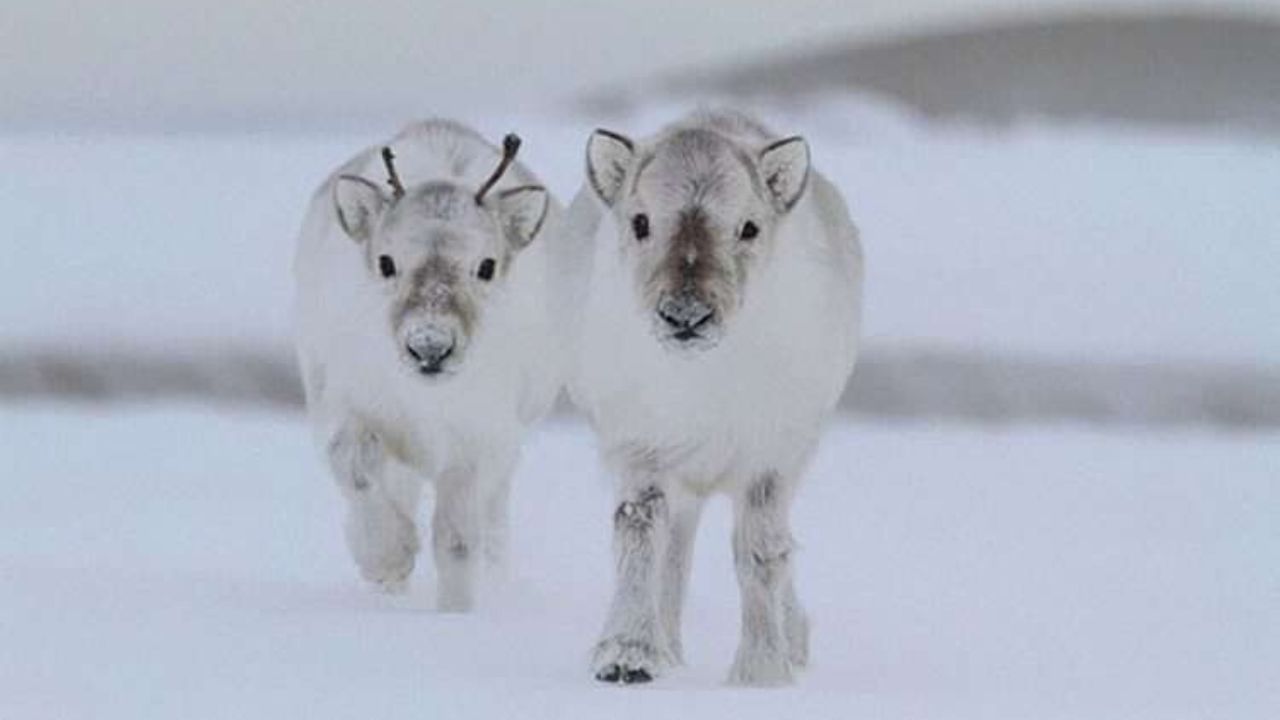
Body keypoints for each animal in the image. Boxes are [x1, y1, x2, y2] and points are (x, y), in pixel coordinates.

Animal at [296, 120, 568, 607]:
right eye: (386, 262)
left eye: (487, 266)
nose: (430, 347)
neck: (425, 400)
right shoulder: (347, 404)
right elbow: (354, 467)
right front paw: (388, 560)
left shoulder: (478, 440)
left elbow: (456, 541)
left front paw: (455, 611)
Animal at [568, 110, 860, 681]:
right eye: (640, 221)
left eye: (748, 227)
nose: (686, 315)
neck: (701, 378)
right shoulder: (641, 448)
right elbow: (640, 534)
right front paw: (628, 656)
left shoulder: (769, 456)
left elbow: (761, 552)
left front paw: (761, 671)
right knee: (676, 550)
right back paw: (671, 651)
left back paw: (794, 642)